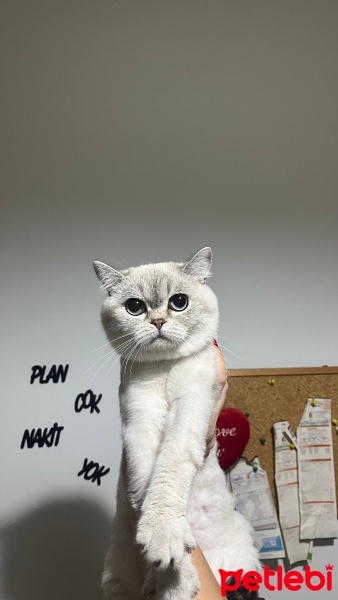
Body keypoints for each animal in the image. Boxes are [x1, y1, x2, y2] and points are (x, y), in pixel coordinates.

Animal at [93, 247, 260, 600]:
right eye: (135, 307)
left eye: (179, 302)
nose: (158, 321)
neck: (164, 369)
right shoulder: (140, 419)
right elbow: (146, 485)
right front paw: (172, 574)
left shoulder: (191, 406)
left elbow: (169, 469)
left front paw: (166, 551)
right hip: (116, 580)